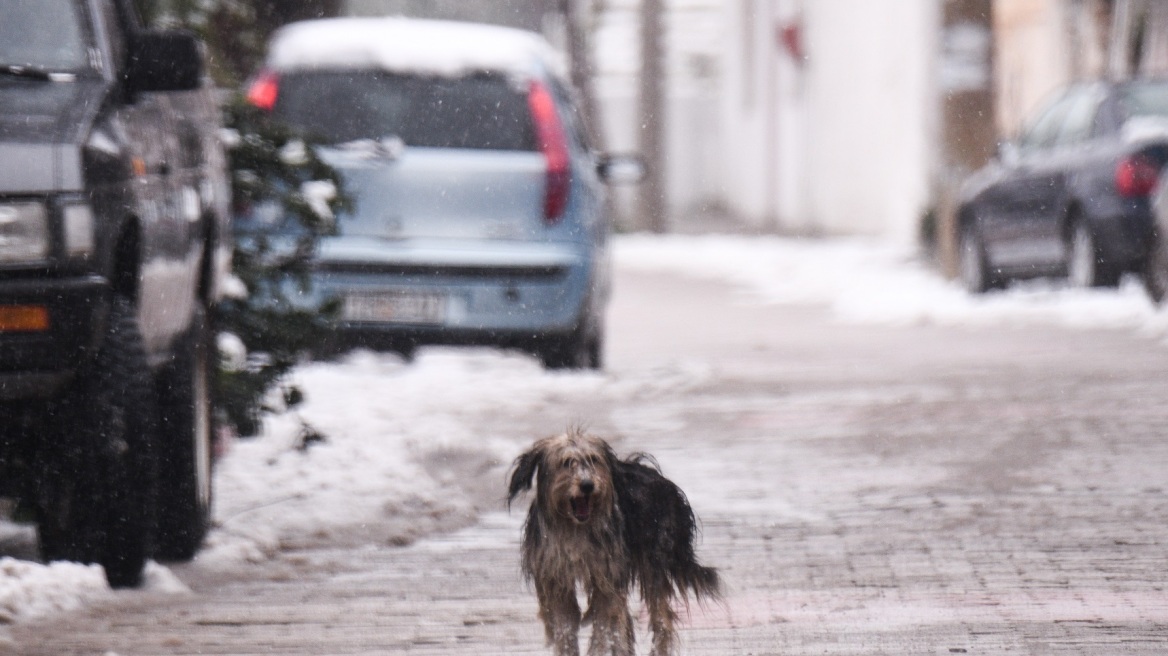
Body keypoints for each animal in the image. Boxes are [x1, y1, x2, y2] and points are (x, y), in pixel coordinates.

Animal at [506, 429, 714, 653]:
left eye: (594, 460)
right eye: (566, 462)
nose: (587, 485)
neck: (575, 529)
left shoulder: (607, 576)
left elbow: (604, 625)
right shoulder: (556, 578)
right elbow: (566, 626)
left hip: (655, 560)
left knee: (661, 618)